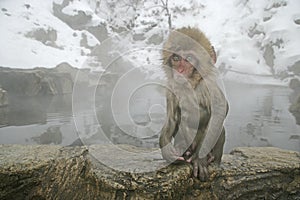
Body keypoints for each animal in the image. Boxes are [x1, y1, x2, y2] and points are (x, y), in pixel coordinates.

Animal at [159, 27, 227, 181]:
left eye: (189, 59)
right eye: (176, 58)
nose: (180, 71)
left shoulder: (209, 84)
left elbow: (219, 111)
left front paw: (200, 159)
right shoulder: (171, 87)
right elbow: (172, 117)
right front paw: (166, 150)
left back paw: (208, 157)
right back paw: (184, 151)